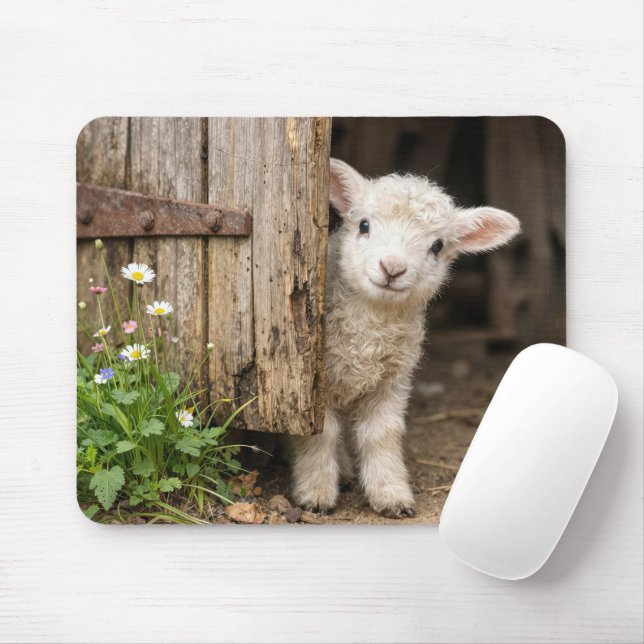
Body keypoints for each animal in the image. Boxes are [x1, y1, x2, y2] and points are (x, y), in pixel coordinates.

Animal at [290, 158, 521, 518]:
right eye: (364, 225)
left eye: (437, 246)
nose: (393, 268)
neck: (371, 328)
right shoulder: (316, 385)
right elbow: (321, 434)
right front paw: (315, 492)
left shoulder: (394, 379)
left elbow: (383, 435)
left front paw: (391, 494)